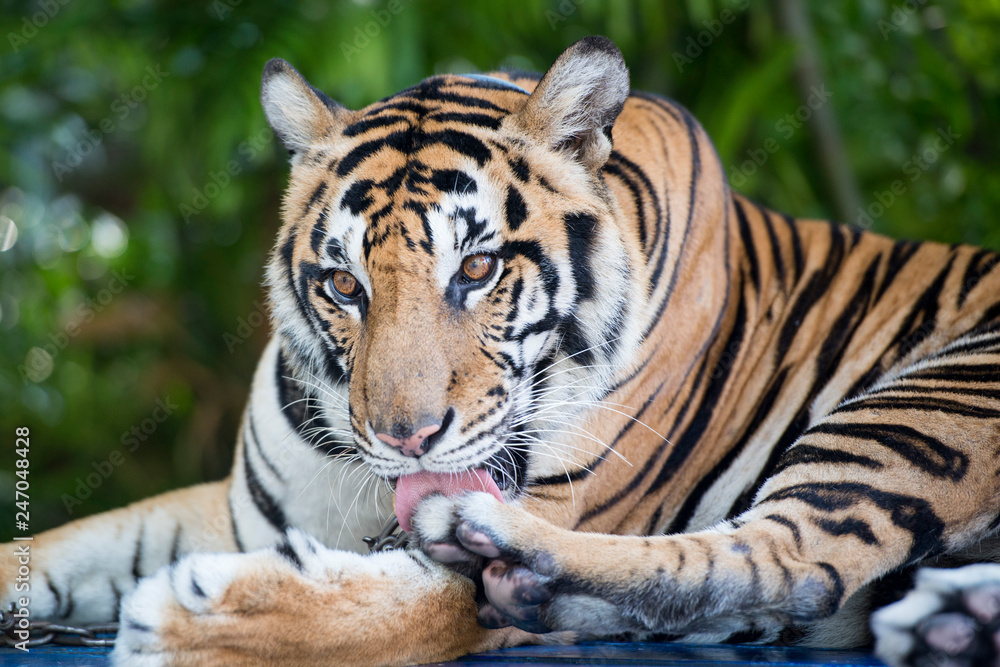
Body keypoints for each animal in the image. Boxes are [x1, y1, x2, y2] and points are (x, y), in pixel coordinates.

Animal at [3, 36, 1000, 667]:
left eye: (477, 269)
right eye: (344, 286)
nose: (404, 438)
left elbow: (400, 613)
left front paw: (193, 623)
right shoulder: (240, 508)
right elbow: (52, 550)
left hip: (925, 404)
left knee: (784, 563)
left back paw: (501, 550)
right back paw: (952, 622)